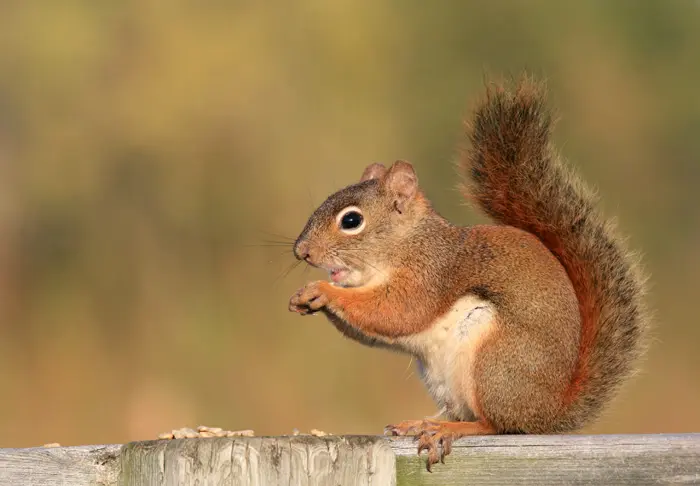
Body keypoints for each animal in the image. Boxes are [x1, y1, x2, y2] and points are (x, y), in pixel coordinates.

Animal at [288, 74, 648, 468]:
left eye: (351, 221)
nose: (301, 252)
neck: (406, 243)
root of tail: (548, 412)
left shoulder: (432, 274)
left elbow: (397, 312)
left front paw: (323, 291)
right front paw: (304, 297)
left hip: (495, 363)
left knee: (496, 424)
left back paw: (449, 430)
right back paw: (422, 423)